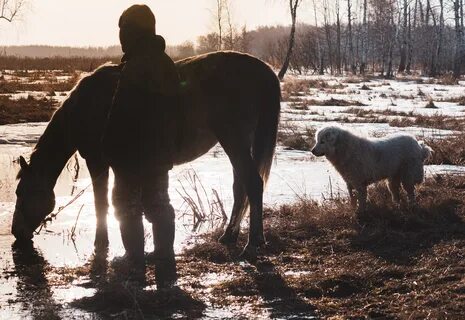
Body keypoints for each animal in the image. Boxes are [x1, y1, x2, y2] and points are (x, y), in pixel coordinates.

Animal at [10, 51, 280, 258]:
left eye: (22, 192)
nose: (16, 232)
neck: (84, 107)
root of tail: (264, 70)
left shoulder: (97, 161)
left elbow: (101, 203)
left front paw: (102, 243)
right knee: (241, 187)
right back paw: (229, 235)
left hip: (234, 139)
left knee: (252, 184)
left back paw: (252, 244)